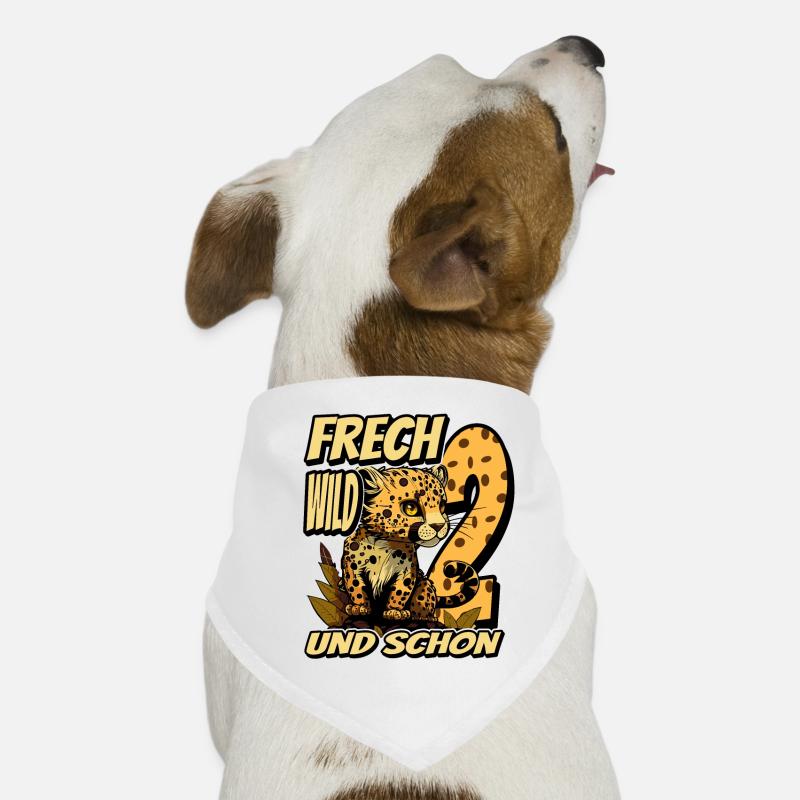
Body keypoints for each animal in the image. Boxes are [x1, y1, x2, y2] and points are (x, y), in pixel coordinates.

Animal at [341, 464, 479, 623]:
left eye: (442, 506)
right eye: (410, 508)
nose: (438, 525)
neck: (385, 544)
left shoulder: (406, 572)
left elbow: (400, 591)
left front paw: (395, 611)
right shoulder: (352, 567)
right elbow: (356, 587)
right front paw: (359, 607)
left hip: (425, 584)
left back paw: (424, 616)